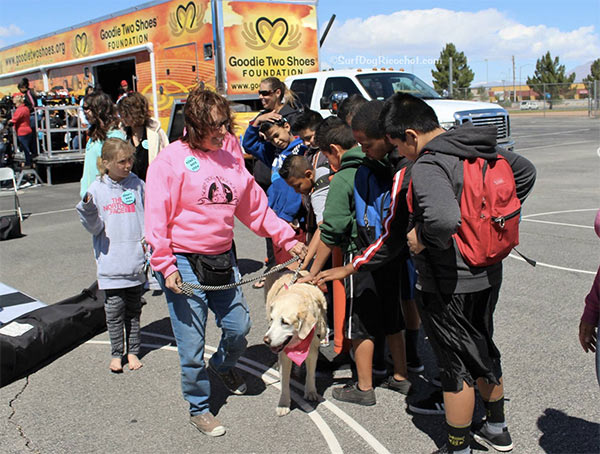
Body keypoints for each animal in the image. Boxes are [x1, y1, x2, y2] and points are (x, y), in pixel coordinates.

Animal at [264, 272, 328, 416]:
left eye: (285, 322)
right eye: (272, 319)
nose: (266, 340)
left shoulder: (312, 350)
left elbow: (311, 373)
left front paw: (310, 391)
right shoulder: (284, 354)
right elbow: (284, 381)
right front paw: (283, 404)